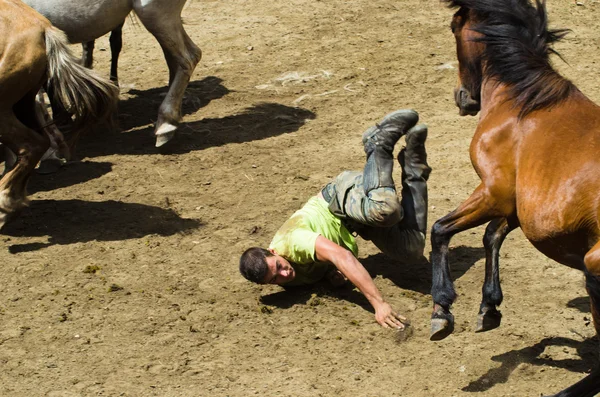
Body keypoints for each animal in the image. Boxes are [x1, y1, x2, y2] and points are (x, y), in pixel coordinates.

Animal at [428, 0, 600, 396]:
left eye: (453, 27)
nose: (462, 98)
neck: (525, 99)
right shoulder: (516, 205)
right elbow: (492, 235)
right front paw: (489, 308)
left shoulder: (494, 191)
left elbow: (440, 229)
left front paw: (442, 311)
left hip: (595, 270)